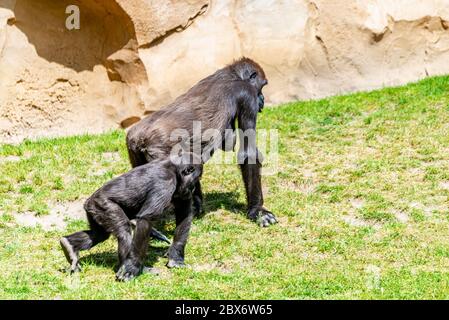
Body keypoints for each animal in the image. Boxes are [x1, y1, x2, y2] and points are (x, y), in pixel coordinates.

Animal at [59, 156, 201, 282]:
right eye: (194, 181)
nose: (192, 189)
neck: (175, 170)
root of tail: (88, 202)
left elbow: (184, 213)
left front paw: (176, 258)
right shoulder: (165, 184)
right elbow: (146, 220)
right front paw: (132, 268)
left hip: (95, 210)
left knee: (98, 234)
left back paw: (69, 247)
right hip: (103, 206)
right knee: (123, 231)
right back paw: (136, 269)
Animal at [124, 57, 274, 228]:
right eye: (262, 87)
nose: (262, 99)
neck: (233, 74)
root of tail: (138, 137)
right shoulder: (248, 96)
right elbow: (248, 153)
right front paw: (258, 211)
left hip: (134, 151)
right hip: (159, 153)